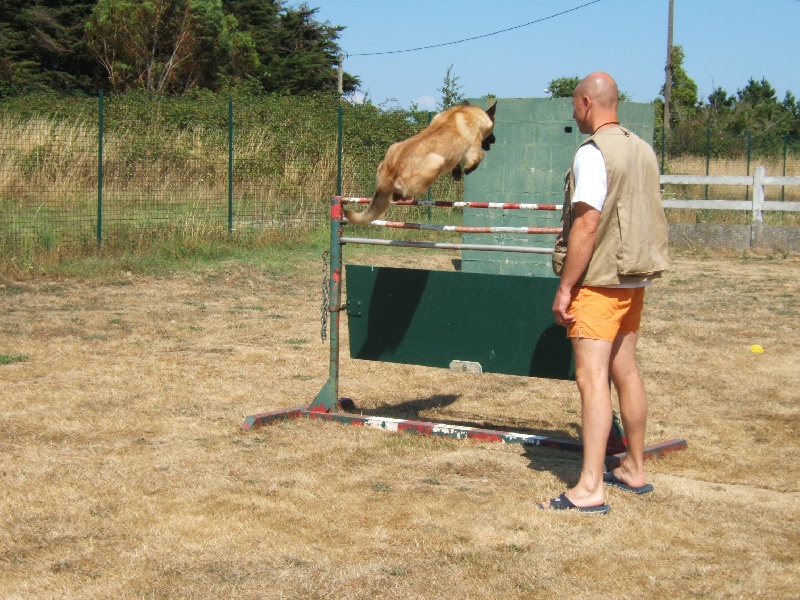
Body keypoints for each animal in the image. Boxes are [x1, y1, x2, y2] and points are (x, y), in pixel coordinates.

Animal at [342, 101, 496, 225]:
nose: (494, 140)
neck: (464, 111)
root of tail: (394, 166)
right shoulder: (473, 150)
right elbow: (478, 158)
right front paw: (467, 170)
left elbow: (457, 164)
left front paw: (457, 173)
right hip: (435, 164)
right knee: (401, 194)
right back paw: (402, 195)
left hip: (392, 150)